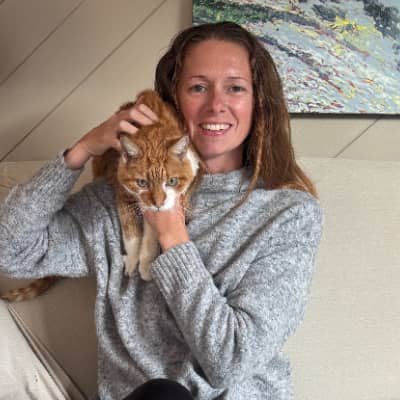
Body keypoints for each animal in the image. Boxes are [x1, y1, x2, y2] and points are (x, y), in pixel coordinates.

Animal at [1, 90, 200, 301]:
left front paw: (145, 264)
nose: (158, 203)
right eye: (142, 183)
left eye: (171, 181)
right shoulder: (123, 192)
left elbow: (150, 235)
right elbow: (132, 233)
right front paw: (132, 261)